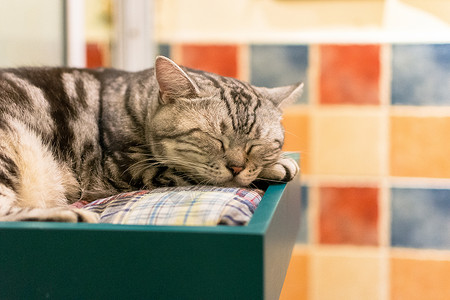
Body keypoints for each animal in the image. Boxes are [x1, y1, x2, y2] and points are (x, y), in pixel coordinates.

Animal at [0, 56, 302, 221]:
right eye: (214, 139)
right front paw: (277, 165)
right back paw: (70, 214)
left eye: (256, 144)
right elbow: (187, 172)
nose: (237, 167)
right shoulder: (125, 169)